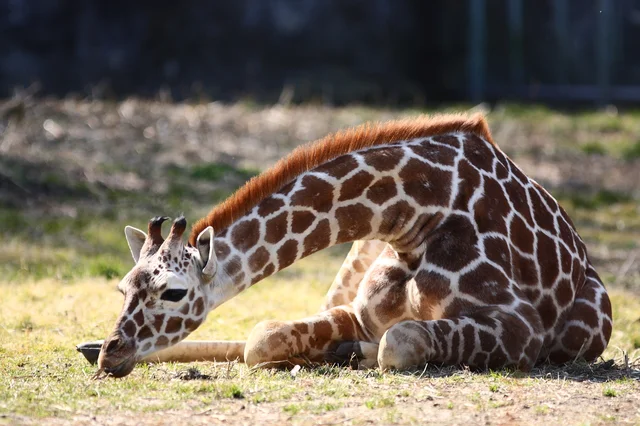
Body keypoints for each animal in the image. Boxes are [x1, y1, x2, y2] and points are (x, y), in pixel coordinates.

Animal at [92, 112, 612, 376]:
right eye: (122, 288)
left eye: (174, 292)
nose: (111, 355)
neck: (417, 216)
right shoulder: (360, 311)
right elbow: (263, 337)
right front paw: (327, 350)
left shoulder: (521, 328)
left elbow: (398, 341)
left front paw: (351, 352)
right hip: (353, 259)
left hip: (588, 328)